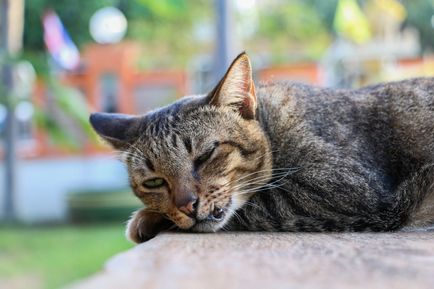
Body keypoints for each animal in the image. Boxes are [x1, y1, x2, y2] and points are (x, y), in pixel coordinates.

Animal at [89, 51, 434, 241]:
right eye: (154, 182)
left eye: (205, 155)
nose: (186, 204)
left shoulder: (348, 190)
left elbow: (255, 206)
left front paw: (146, 217)